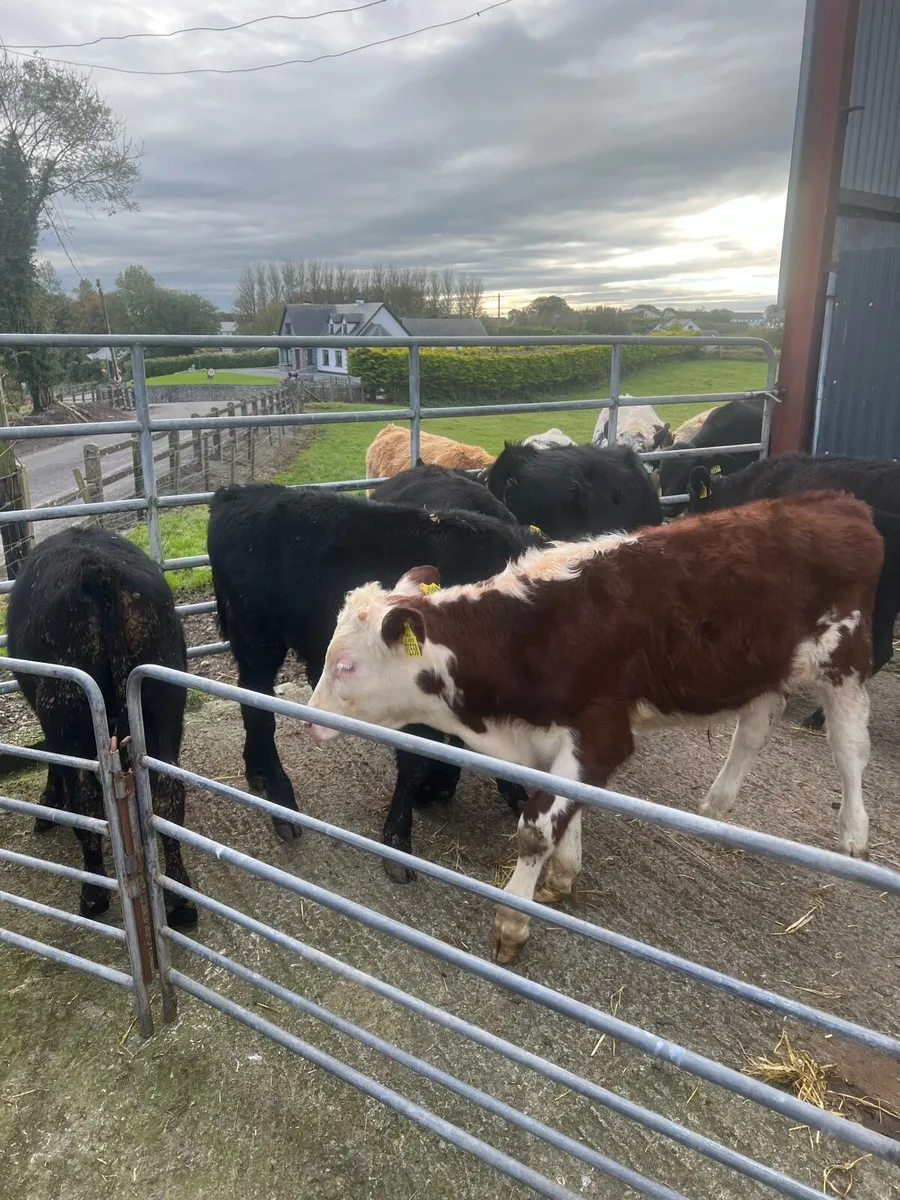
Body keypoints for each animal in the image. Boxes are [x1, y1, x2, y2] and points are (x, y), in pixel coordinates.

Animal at [6, 528, 197, 927]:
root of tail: (98, 571)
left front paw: (48, 805)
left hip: (66, 711)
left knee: (87, 800)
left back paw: (93, 893)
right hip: (165, 702)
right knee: (168, 793)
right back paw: (178, 899)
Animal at [207, 483, 545, 876]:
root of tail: (239, 492)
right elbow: (416, 760)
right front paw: (398, 840)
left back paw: (257, 772)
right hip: (257, 642)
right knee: (259, 711)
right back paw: (282, 805)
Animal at [305, 492, 882, 963]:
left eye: (346, 665)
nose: (311, 718)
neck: (526, 635)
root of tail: (838, 502)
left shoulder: (604, 736)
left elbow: (536, 829)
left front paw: (512, 922)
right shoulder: (553, 739)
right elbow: (565, 806)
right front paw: (563, 875)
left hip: (844, 659)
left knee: (849, 746)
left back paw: (854, 837)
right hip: (762, 666)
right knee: (755, 727)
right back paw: (716, 808)